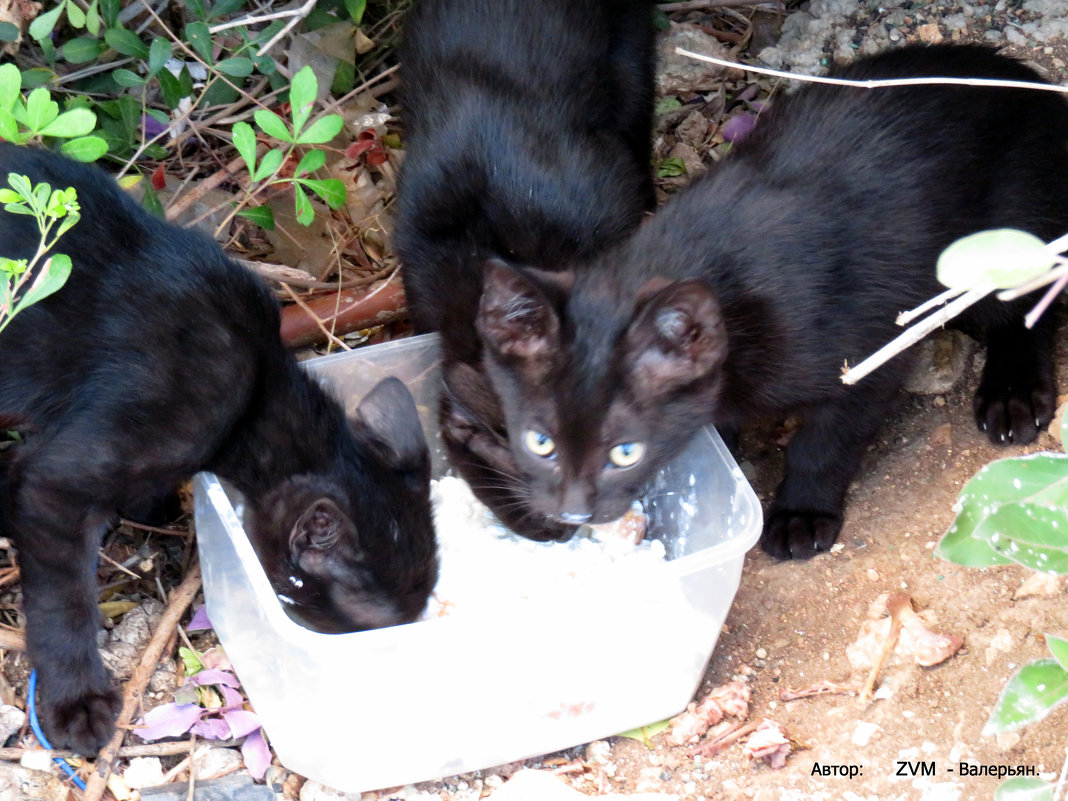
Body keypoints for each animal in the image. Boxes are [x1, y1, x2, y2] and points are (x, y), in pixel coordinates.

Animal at [476, 42, 1068, 559]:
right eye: (539, 442)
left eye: (625, 452)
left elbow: (824, 442)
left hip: (1003, 233)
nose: (571, 512)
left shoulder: (867, 356)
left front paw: (802, 515)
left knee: (1032, 303)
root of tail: (1029, 81)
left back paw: (1013, 393)